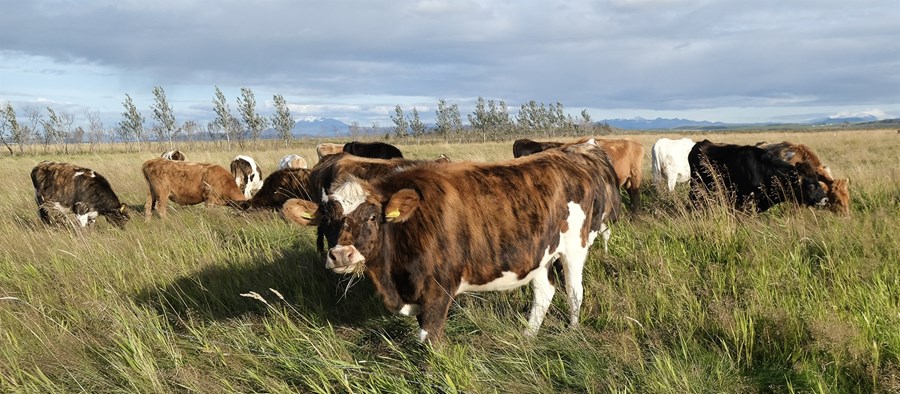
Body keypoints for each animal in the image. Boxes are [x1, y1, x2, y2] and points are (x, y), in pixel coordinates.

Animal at [284, 139, 624, 342]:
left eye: (371, 217)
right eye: (327, 219)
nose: (342, 255)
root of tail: (573, 153)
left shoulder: (439, 289)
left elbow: (428, 341)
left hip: (574, 248)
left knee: (574, 291)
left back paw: (573, 331)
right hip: (539, 254)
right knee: (544, 292)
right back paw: (528, 337)